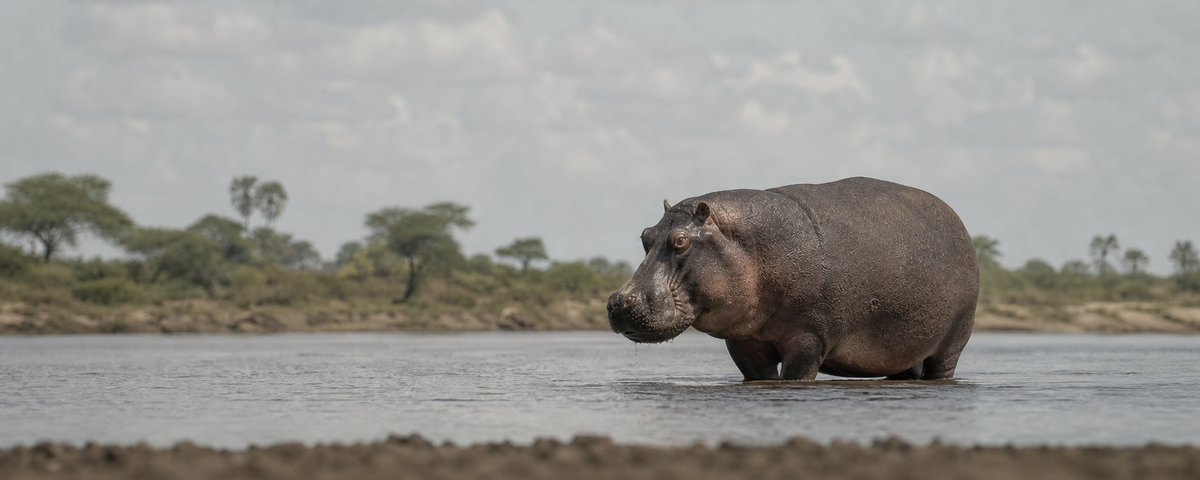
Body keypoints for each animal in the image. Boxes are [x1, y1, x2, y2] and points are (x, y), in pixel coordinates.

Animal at [607, 177, 978, 381]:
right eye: (645, 235)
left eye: (681, 241)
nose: (620, 301)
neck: (746, 245)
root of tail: (959, 222)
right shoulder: (744, 342)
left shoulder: (808, 336)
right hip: (905, 348)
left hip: (954, 339)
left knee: (943, 367)